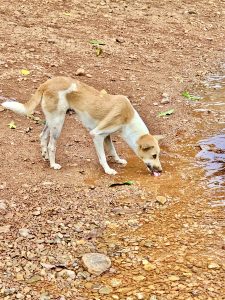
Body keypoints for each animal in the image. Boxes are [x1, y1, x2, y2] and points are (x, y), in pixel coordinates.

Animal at [1, 76, 163, 176]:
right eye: (154, 155)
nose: (160, 170)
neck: (128, 119)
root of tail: (47, 83)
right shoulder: (97, 135)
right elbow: (103, 157)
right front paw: (108, 170)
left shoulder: (106, 136)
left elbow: (112, 150)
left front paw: (118, 160)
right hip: (58, 123)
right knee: (52, 145)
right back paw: (53, 164)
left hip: (51, 120)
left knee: (42, 136)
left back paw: (45, 156)